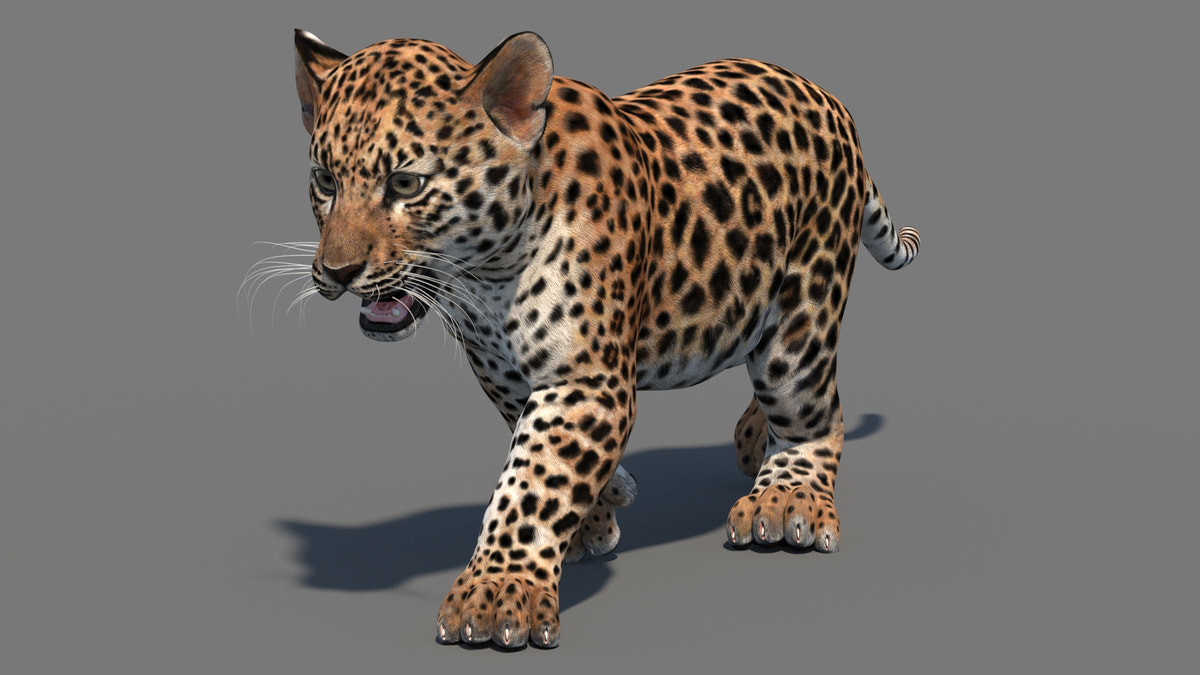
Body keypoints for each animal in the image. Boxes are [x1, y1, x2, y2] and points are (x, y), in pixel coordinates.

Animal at [289, 28, 920, 649]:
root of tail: (825, 97)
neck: (487, 278)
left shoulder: (587, 380)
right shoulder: (503, 371)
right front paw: (600, 510)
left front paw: (498, 593)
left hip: (802, 313)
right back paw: (749, 439)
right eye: (324, 181)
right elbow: (538, 450)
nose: (336, 273)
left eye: (405, 183)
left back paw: (787, 499)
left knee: (814, 411)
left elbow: (533, 480)